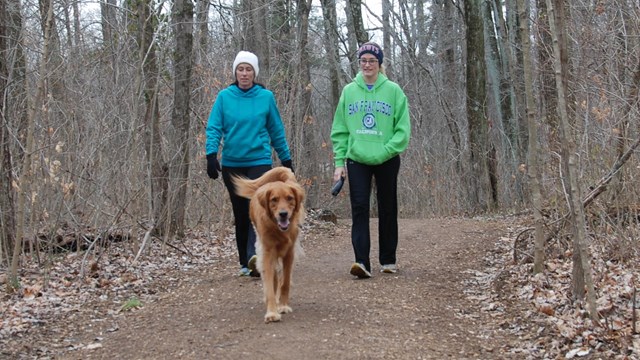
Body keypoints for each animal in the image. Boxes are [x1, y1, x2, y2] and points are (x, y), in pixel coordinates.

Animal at [231, 167, 306, 324]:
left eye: (290, 198)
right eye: (274, 200)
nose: (283, 214)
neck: (278, 229)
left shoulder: (289, 254)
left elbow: (285, 282)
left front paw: (283, 305)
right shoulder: (267, 253)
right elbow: (270, 285)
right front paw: (272, 312)